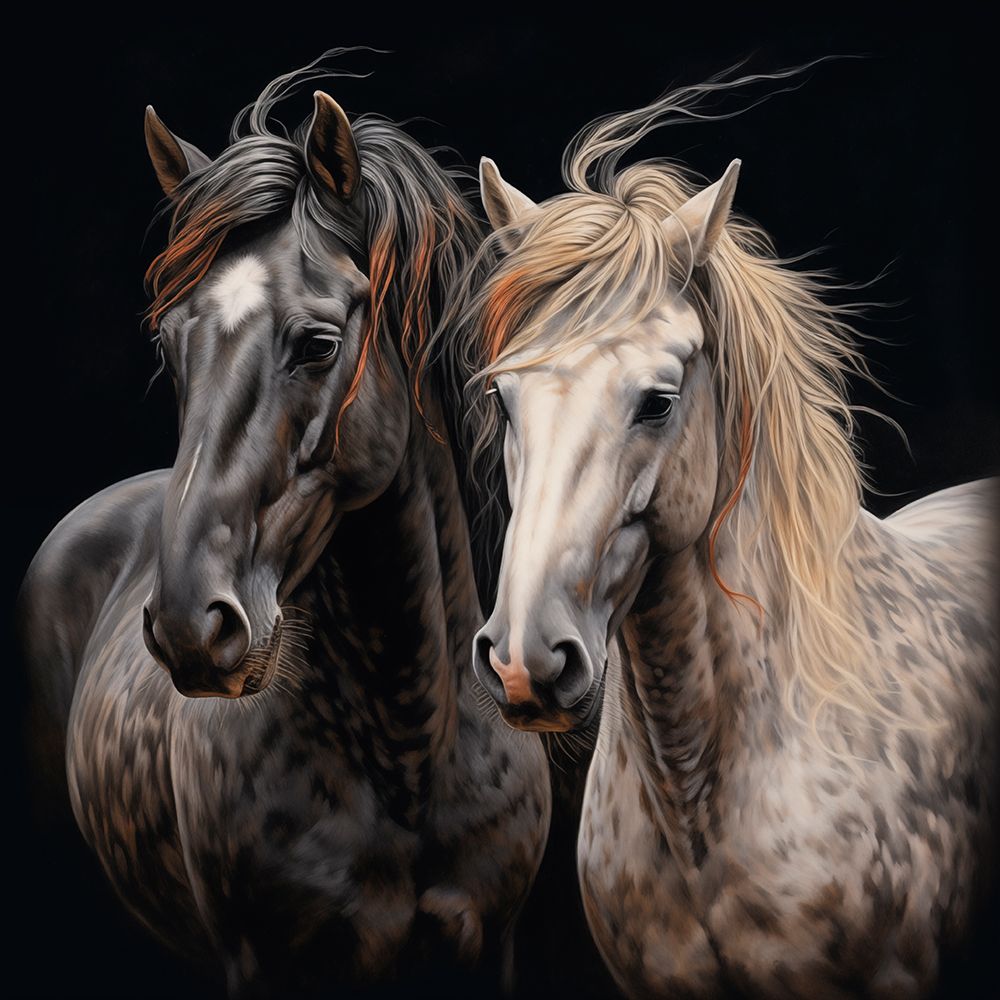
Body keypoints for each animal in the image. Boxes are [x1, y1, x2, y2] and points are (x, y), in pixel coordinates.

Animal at [18, 61, 550, 996]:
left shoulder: (496, 945)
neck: (408, 754)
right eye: (169, 344)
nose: (191, 627)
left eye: (319, 343)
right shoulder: (260, 961)